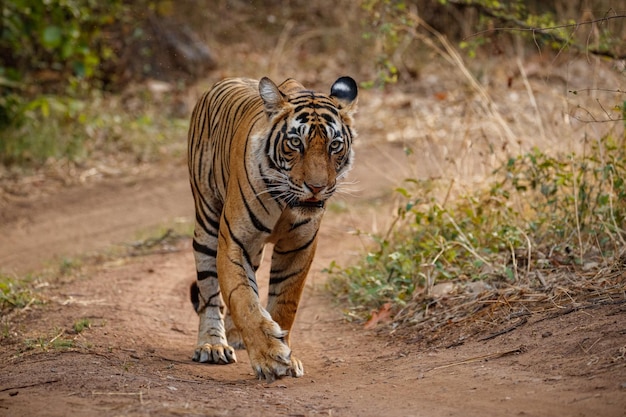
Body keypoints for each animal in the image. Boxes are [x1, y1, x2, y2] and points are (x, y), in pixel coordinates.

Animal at [185, 75, 356, 380]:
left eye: (334, 145)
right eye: (295, 142)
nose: (316, 187)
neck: (286, 202)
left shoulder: (298, 247)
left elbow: (284, 303)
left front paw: (285, 353)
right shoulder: (234, 242)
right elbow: (242, 298)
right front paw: (270, 358)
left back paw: (235, 337)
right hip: (206, 221)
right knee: (210, 294)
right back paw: (212, 345)